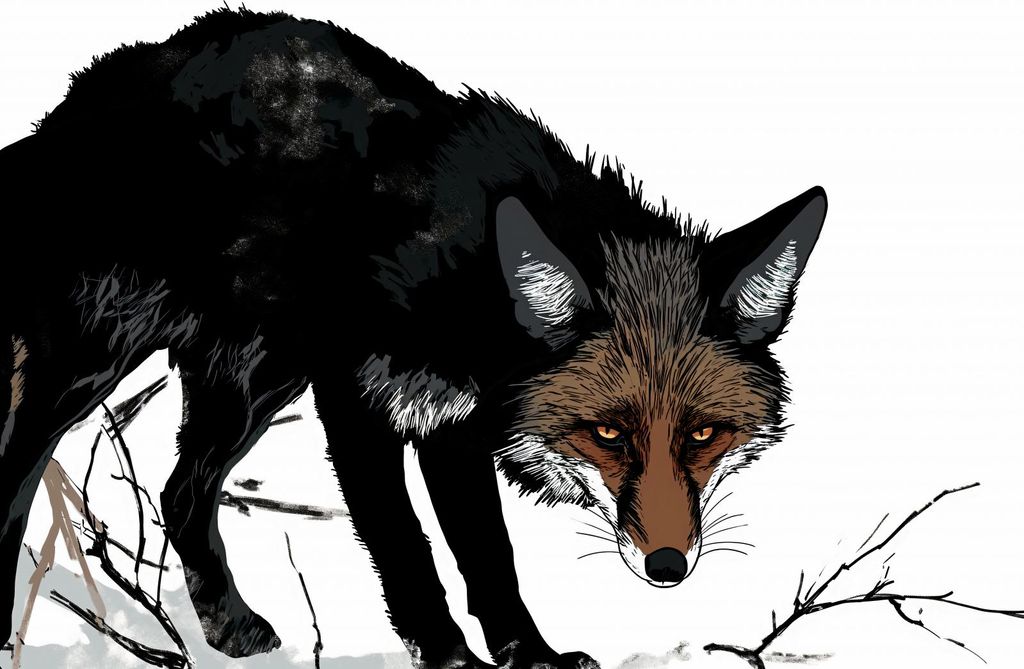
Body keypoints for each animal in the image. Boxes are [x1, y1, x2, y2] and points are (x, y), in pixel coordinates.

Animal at [0, 8, 827, 669]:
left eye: (703, 435)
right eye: (607, 433)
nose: (667, 566)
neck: (458, 276)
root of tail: (82, 96)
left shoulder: (449, 423)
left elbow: (489, 555)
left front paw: (531, 654)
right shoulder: (357, 404)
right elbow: (406, 546)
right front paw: (449, 655)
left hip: (256, 383)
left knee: (180, 491)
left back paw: (227, 624)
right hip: (92, 364)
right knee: (16, 475)